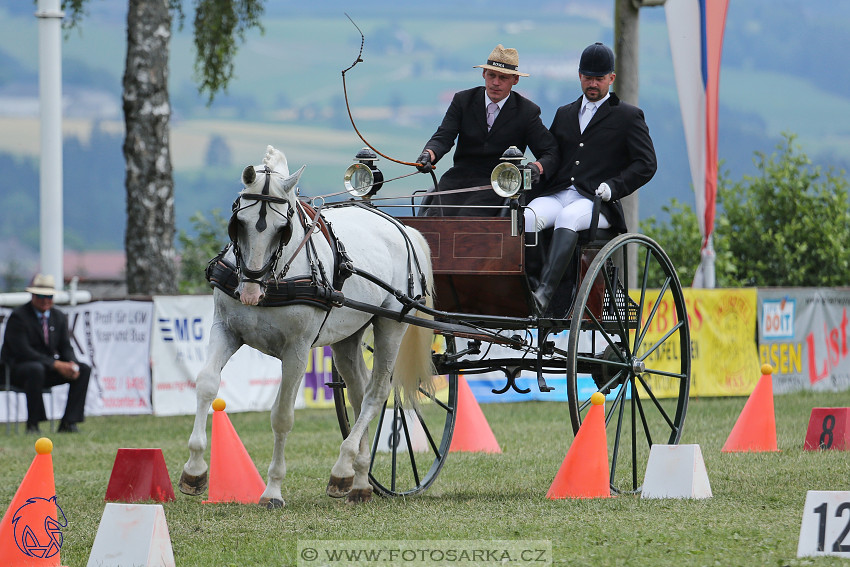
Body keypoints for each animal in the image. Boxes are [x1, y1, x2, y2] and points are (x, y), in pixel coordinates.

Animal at [176, 145, 434, 506]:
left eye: (281, 228)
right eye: (238, 223)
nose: (250, 292)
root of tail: (403, 228)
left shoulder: (296, 351)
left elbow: (282, 416)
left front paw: (272, 489)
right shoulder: (225, 330)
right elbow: (206, 385)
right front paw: (194, 470)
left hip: (391, 324)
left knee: (377, 393)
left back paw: (342, 468)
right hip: (348, 335)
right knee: (358, 391)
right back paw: (359, 479)